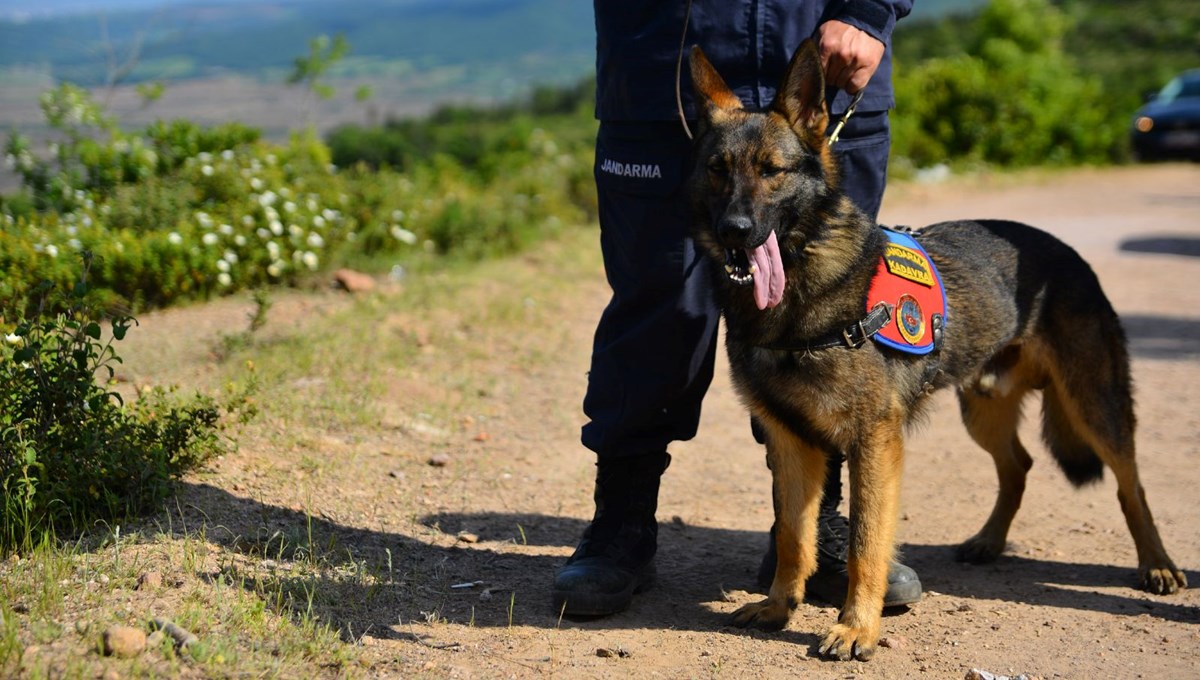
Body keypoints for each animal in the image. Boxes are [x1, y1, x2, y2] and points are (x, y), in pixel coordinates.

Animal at [691, 41, 1185, 662]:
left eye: (771, 172)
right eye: (717, 170)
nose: (734, 231)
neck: (806, 291)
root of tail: (1065, 251)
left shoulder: (873, 441)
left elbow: (866, 542)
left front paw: (857, 628)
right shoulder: (791, 443)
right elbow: (792, 536)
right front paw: (781, 607)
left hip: (1095, 408)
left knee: (1130, 484)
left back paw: (1158, 565)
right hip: (983, 412)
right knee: (1019, 466)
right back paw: (988, 541)